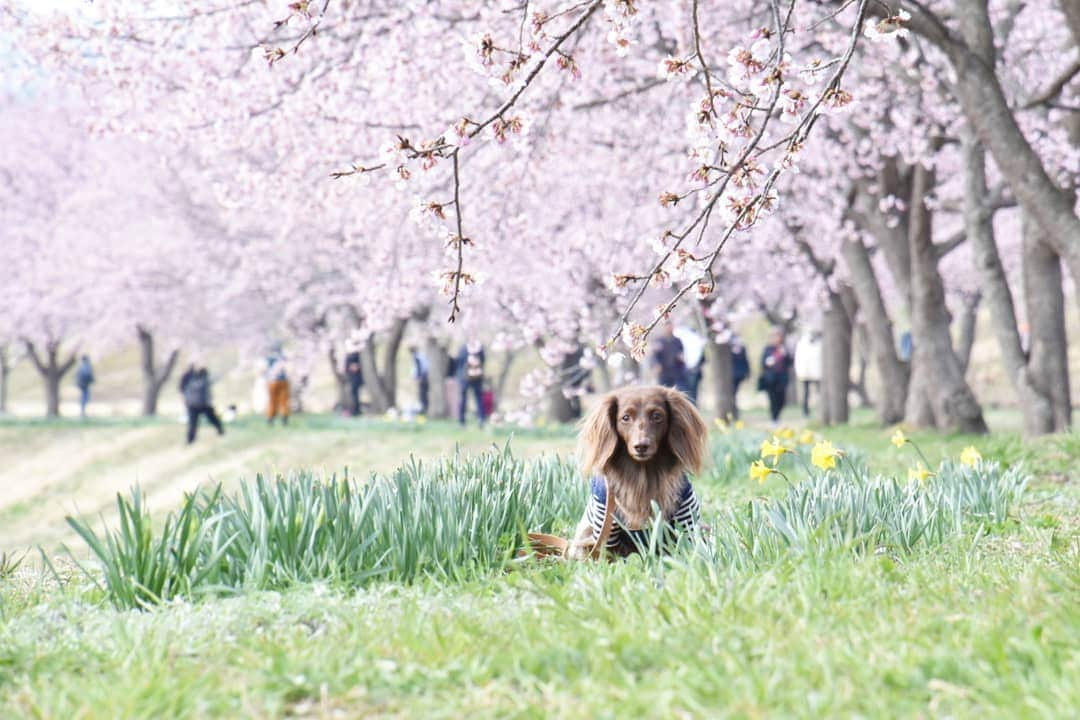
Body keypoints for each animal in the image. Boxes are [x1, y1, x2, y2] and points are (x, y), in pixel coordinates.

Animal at [565, 386, 708, 561]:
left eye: (656, 416)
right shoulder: (607, 530)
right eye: (625, 417)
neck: (643, 473)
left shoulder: (686, 520)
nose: (641, 446)